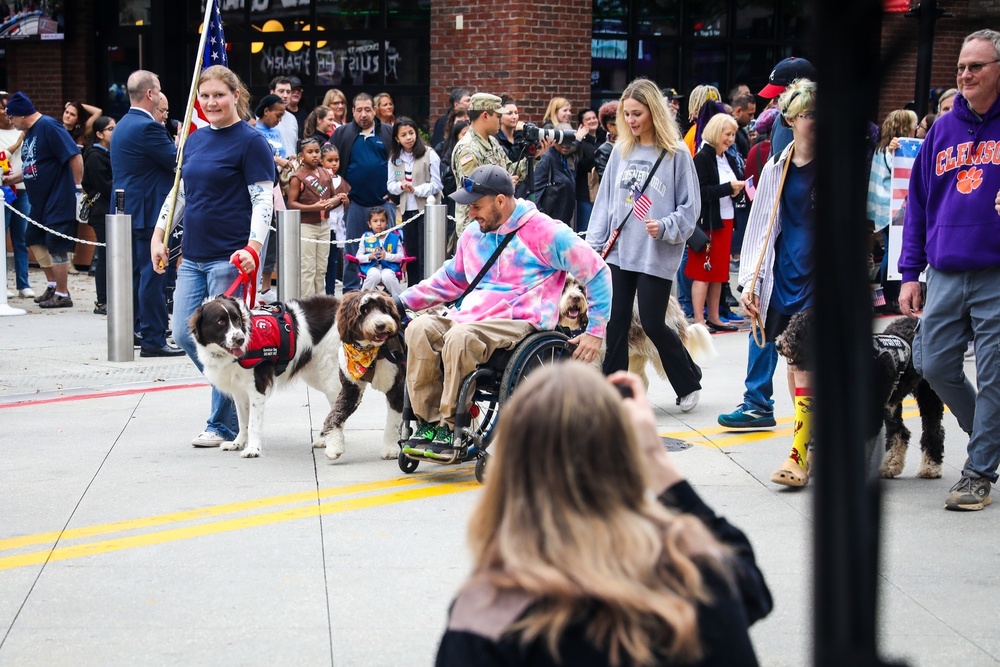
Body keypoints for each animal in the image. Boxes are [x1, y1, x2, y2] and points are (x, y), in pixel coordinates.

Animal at [189, 292, 400, 460]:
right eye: (221, 322)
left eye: (237, 320)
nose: (240, 339)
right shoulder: (239, 391)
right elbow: (243, 421)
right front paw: (238, 443)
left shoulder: (256, 389)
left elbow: (254, 423)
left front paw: (253, 449)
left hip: (330, 377)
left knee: (338, 409)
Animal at [560, 276, 716, 386]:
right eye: (564, 288)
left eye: (581, 288)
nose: (576, 298)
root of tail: (673, 303)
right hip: (636, 355)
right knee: (642, 381)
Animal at [772, 310, 944, 478]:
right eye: (791, 324)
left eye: (802, 330)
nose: (778, 344)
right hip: (892, 402)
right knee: (900, 432)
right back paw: (891, 465)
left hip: (928, 395)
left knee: (933, 429)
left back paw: (930, 466)